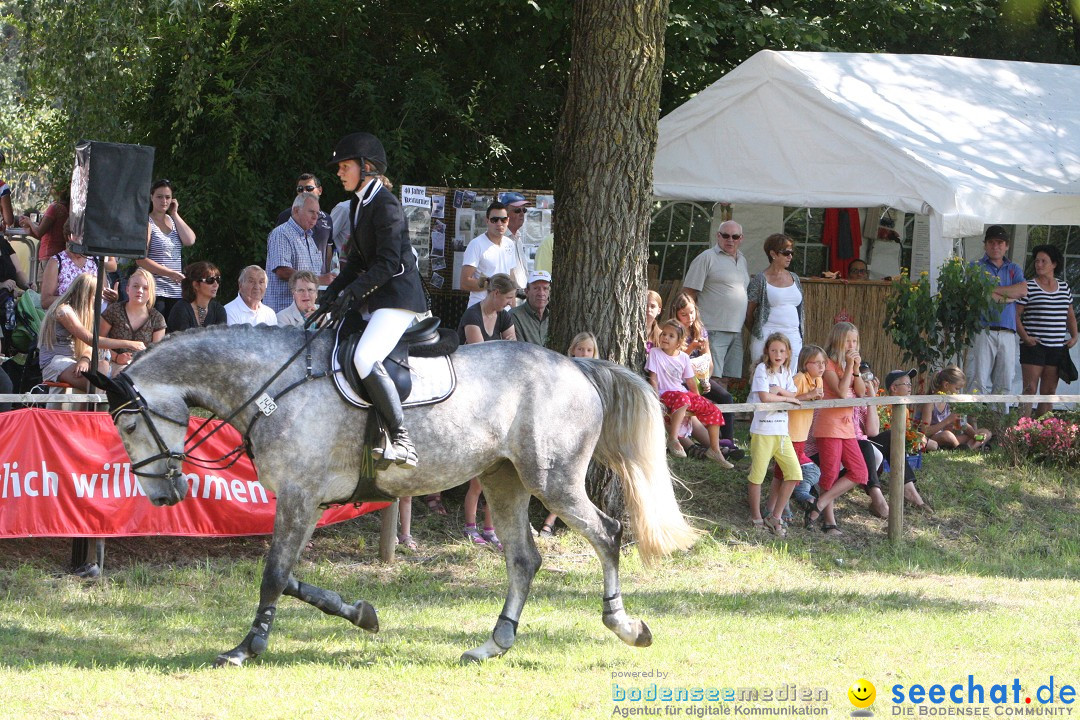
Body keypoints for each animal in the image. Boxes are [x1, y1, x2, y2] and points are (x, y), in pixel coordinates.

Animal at [95, 323, 699, 669]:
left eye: (128, 425)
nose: (163, 497)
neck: (272, 385)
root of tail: (574, 363)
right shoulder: (301, 501)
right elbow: (287, 576)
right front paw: (362, 614)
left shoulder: (298, 495)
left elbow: (273, 574)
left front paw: (247, 648)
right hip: (503, 480)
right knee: (525, 558)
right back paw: (493, 644)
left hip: (553, 480)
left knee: (608, 534)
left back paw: (626, 626)